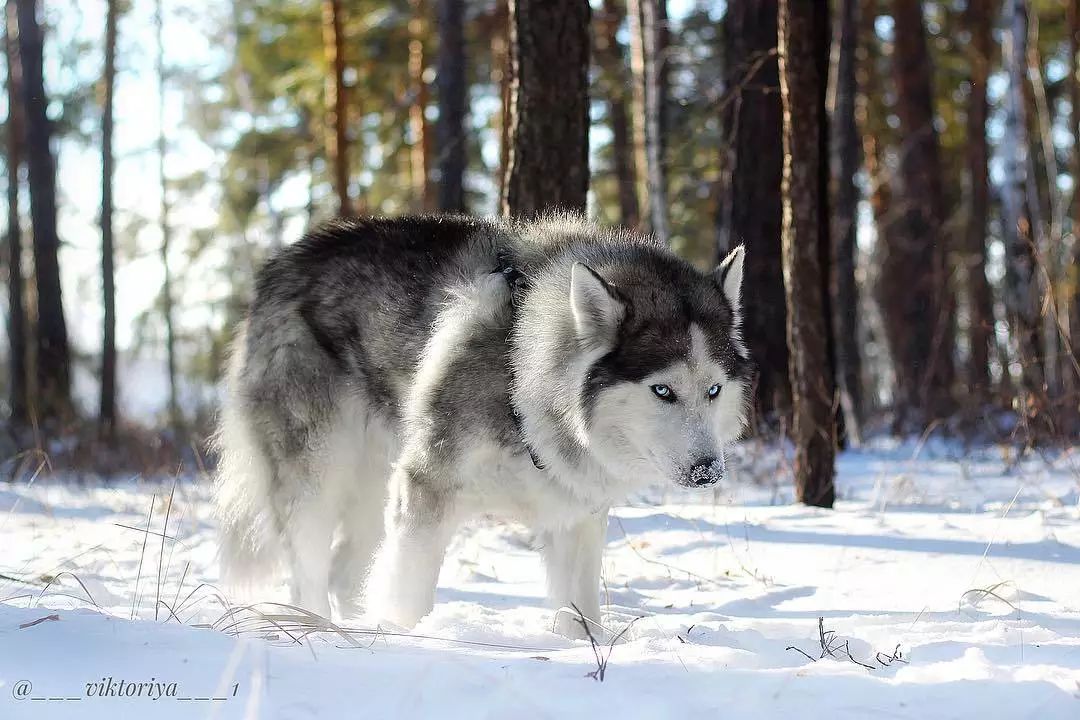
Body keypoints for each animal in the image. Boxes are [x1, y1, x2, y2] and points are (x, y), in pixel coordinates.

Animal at [211, 213, 751, 634]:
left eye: (713, 390)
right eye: (662, 390)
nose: (708, 471)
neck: (522, 377)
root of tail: (282, 263)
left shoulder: (575, 514)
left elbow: (580, 618)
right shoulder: (424, 492)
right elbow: (408, 596)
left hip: (374, 483)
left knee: (345, 571)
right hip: (320, 478)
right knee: (309, 570)